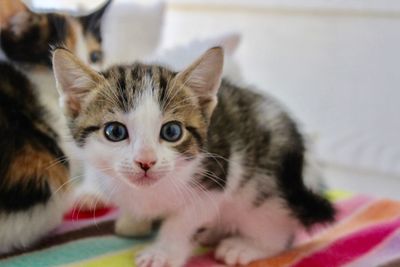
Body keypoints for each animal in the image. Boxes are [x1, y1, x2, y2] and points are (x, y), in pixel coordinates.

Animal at [52, 47, 334, 266]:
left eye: (172, 131)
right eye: (115, 132)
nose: (146, 161)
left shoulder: (217, 176)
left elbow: (183, 220)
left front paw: (163, 253)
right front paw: (132, 219)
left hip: (268, 191)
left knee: (277, 232)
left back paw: (245, 246)